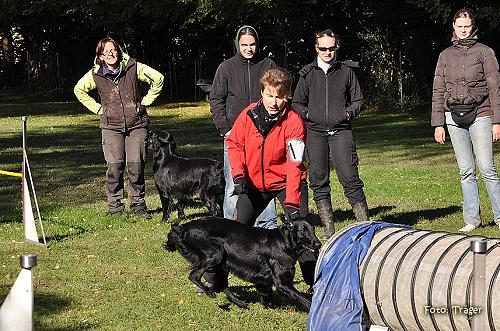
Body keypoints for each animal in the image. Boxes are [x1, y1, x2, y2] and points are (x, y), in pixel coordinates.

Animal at [162, 218, 322, 312]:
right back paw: (209, 292)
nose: (318, 244)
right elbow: (303, 299)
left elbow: (267, 296)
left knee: (224, 286)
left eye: (313, 229)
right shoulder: (282, 283)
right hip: (215, 254)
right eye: (302, 231)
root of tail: (183, 228)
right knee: (194, 275)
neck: (284, 242)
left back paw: (240, 303)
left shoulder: (263, 281)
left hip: (223, 264)